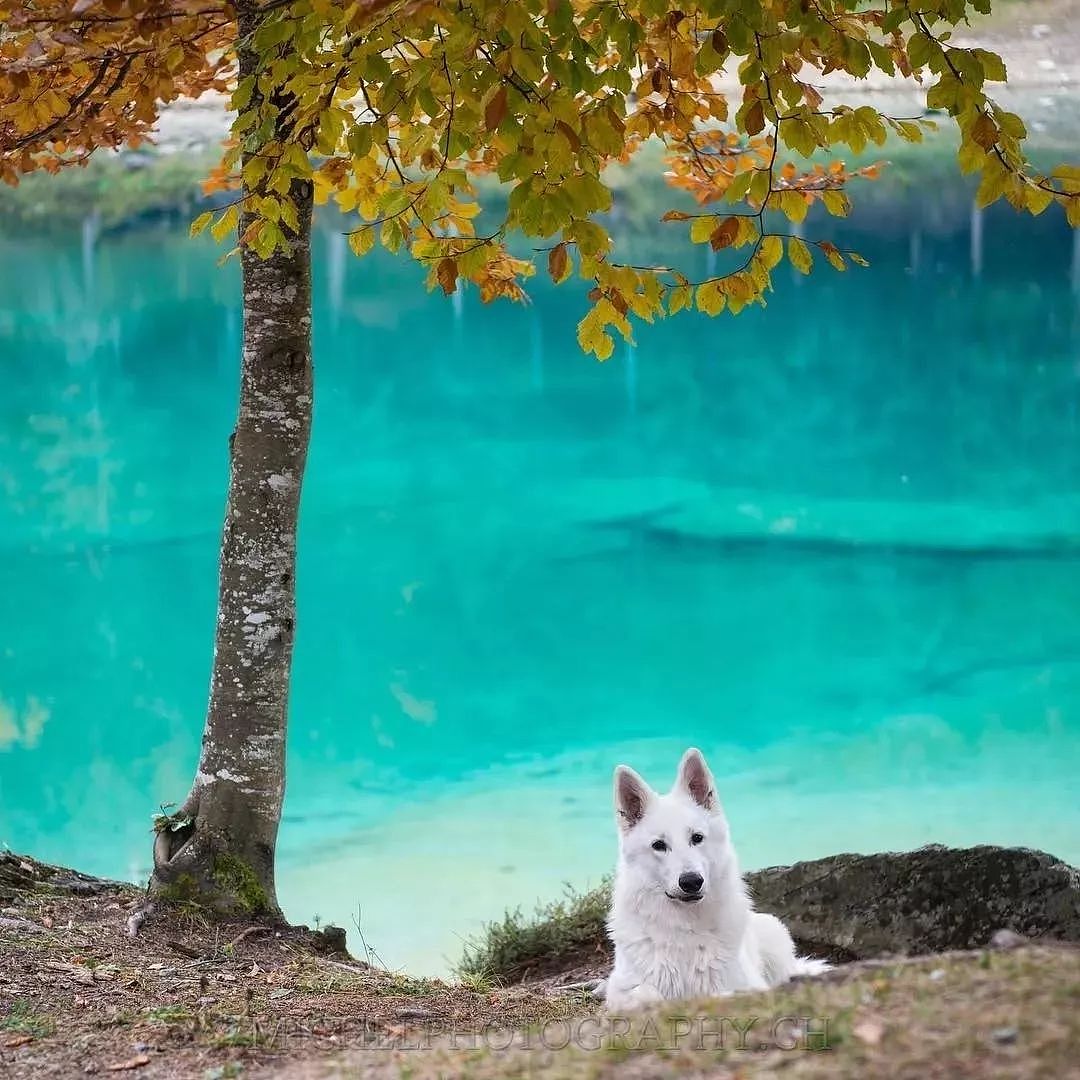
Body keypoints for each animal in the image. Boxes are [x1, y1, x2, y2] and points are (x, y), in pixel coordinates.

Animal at [604, 747, 829, 1006]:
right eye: (658, 845)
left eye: (697, 838)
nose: (691, 882)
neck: (686, 928)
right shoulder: (620, 990)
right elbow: (647, 993)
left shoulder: (746, 984)